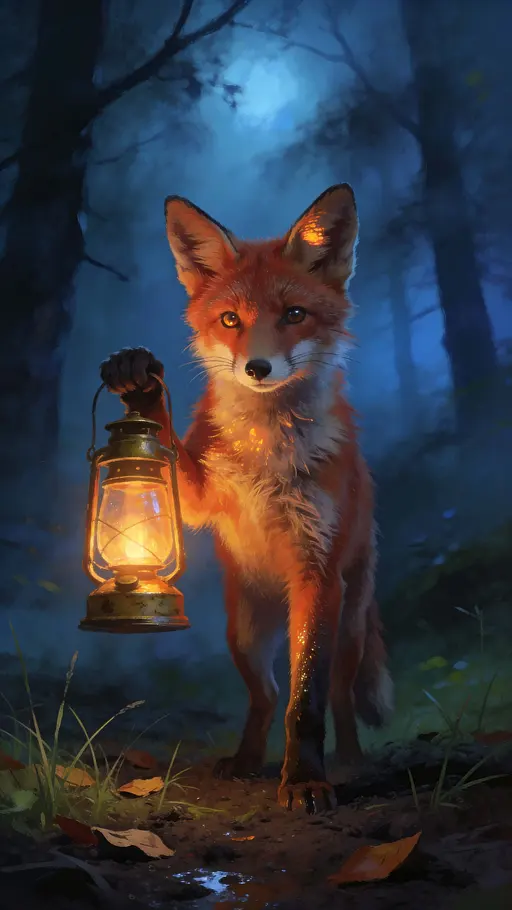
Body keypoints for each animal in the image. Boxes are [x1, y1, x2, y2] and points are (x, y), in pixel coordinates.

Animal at [100, 184, 393, 813]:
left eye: (294, 315)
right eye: (230, 320)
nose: (257, 367)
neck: (265, 448)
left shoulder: (316, 571)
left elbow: (306, 704)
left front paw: (305, 778)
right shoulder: (198, 495)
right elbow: (168, 452)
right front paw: (140, 386)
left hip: (347, 621)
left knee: (335, 695)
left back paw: (350, 762)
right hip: (243, 633)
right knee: (265, 694)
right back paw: (245, 761)